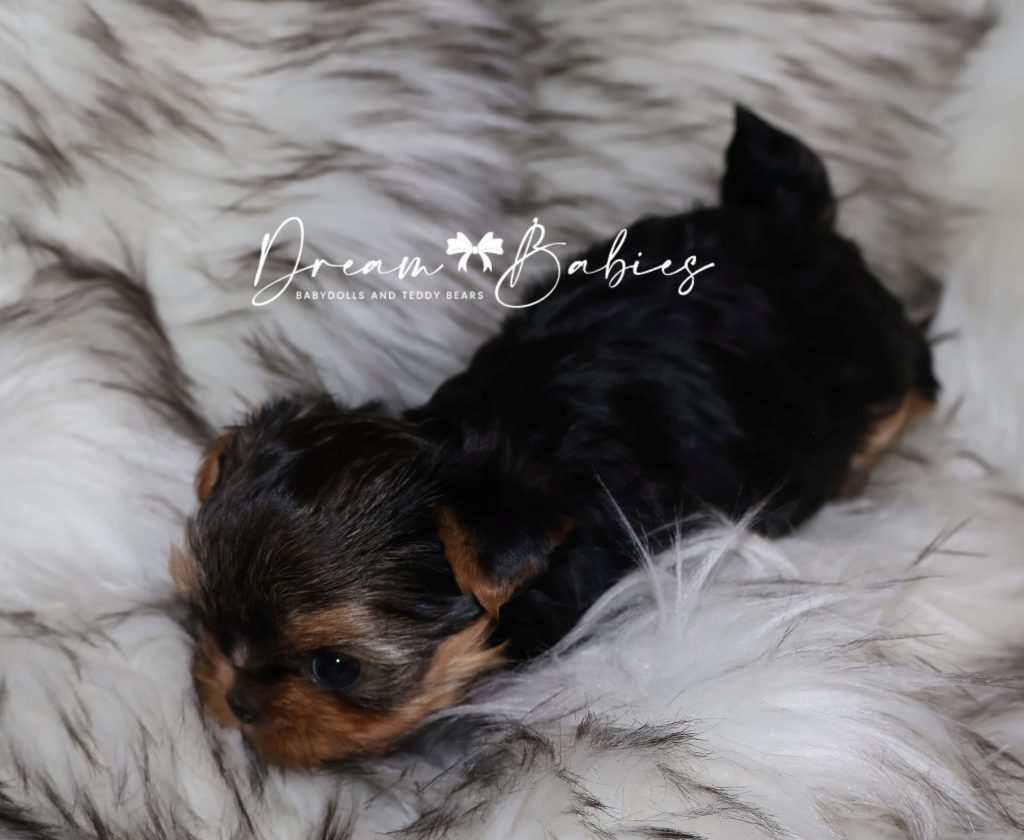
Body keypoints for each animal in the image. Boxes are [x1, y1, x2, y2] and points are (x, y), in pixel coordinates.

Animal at [173, 106, 937, 767]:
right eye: (205, 615)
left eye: (335, 665)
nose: (237, 701)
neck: (496, 450)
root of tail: (787, 223)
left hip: (874, 360)